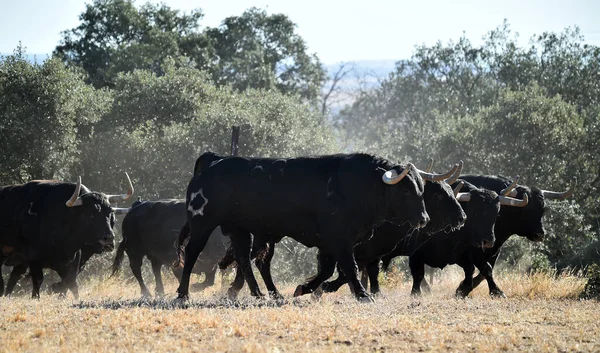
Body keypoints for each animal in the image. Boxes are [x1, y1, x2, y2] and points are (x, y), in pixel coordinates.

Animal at [178, 151, 460, 300]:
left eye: (422, 189)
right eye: (405, 191)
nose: (424, 219)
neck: (356, 185)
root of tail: (214, 160)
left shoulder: (332, 245)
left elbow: (329, 271)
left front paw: (308, 288)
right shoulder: (340, 241)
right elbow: (349, 268)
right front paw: (362, 294)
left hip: (242, 231)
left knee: (247, 261)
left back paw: (263, 294)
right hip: (202, 224)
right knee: (192, 254)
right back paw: (183, 294)